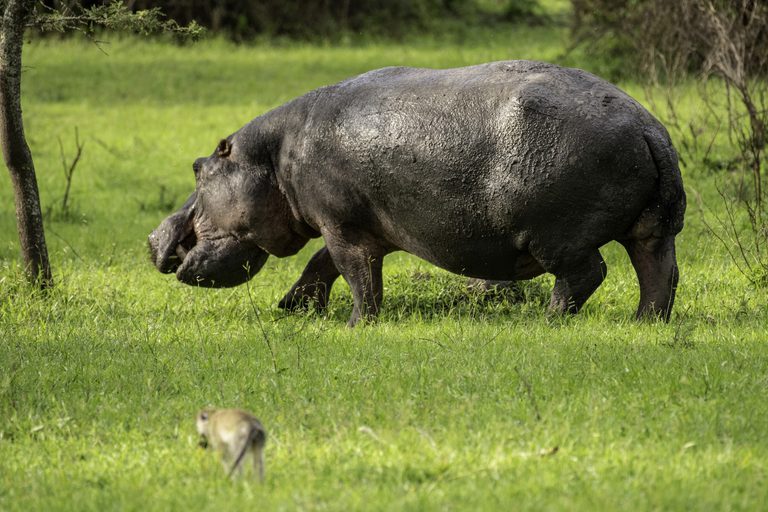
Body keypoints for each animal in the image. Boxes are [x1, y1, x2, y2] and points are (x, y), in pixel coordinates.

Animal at [148, 60, 686, 326]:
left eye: (197, 168)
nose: (153, 239)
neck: (273, 155)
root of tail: (648, 128)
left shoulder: (342, 226)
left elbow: (355, 275)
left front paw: (356, 325)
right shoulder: (355, 224)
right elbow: (320, 265)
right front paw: (293, 308)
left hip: (555, 237)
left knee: (586, 275)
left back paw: (549, 321)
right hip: (653, 229)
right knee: (659, 274)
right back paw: (644, 323)